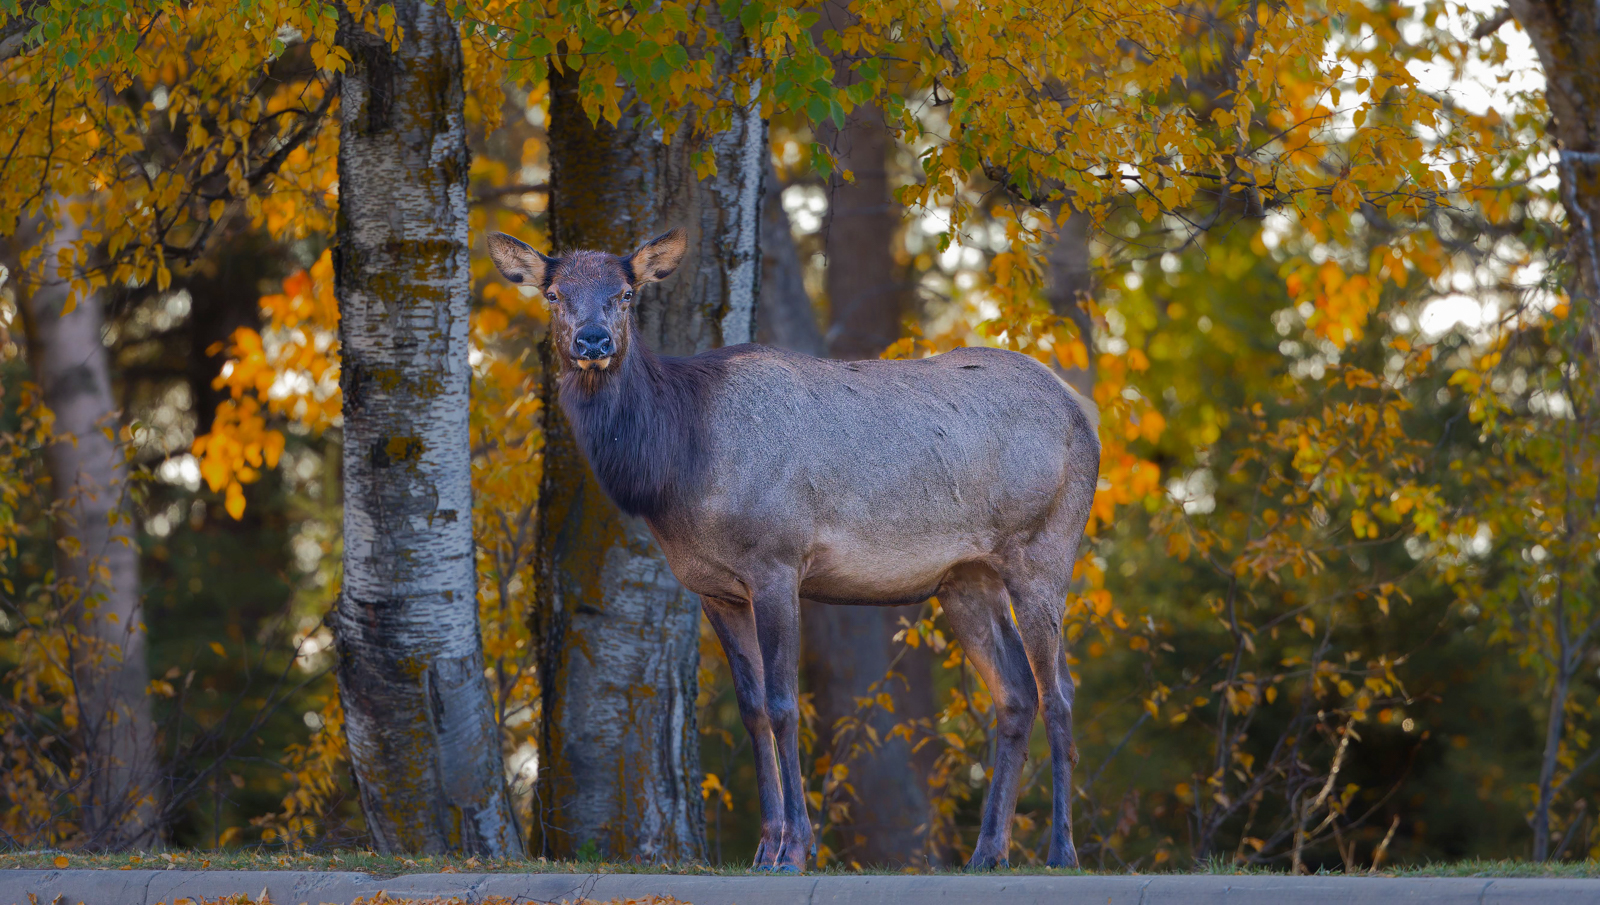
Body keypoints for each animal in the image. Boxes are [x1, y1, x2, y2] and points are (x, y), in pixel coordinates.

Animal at [488, 226, 1100, 872]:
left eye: (626, 294)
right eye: (553, 294)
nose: (593, 340)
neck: (676, 470)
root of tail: (1083, 415)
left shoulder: (777, 561)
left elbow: (785, 704)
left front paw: (796, 849)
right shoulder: (714, 588)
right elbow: (753, 708)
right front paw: (765, 848)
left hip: (1045, 549)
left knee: (1059, 690)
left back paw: (1061, 851)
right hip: (967, 578)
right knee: (1015, 693)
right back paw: (988, 852)